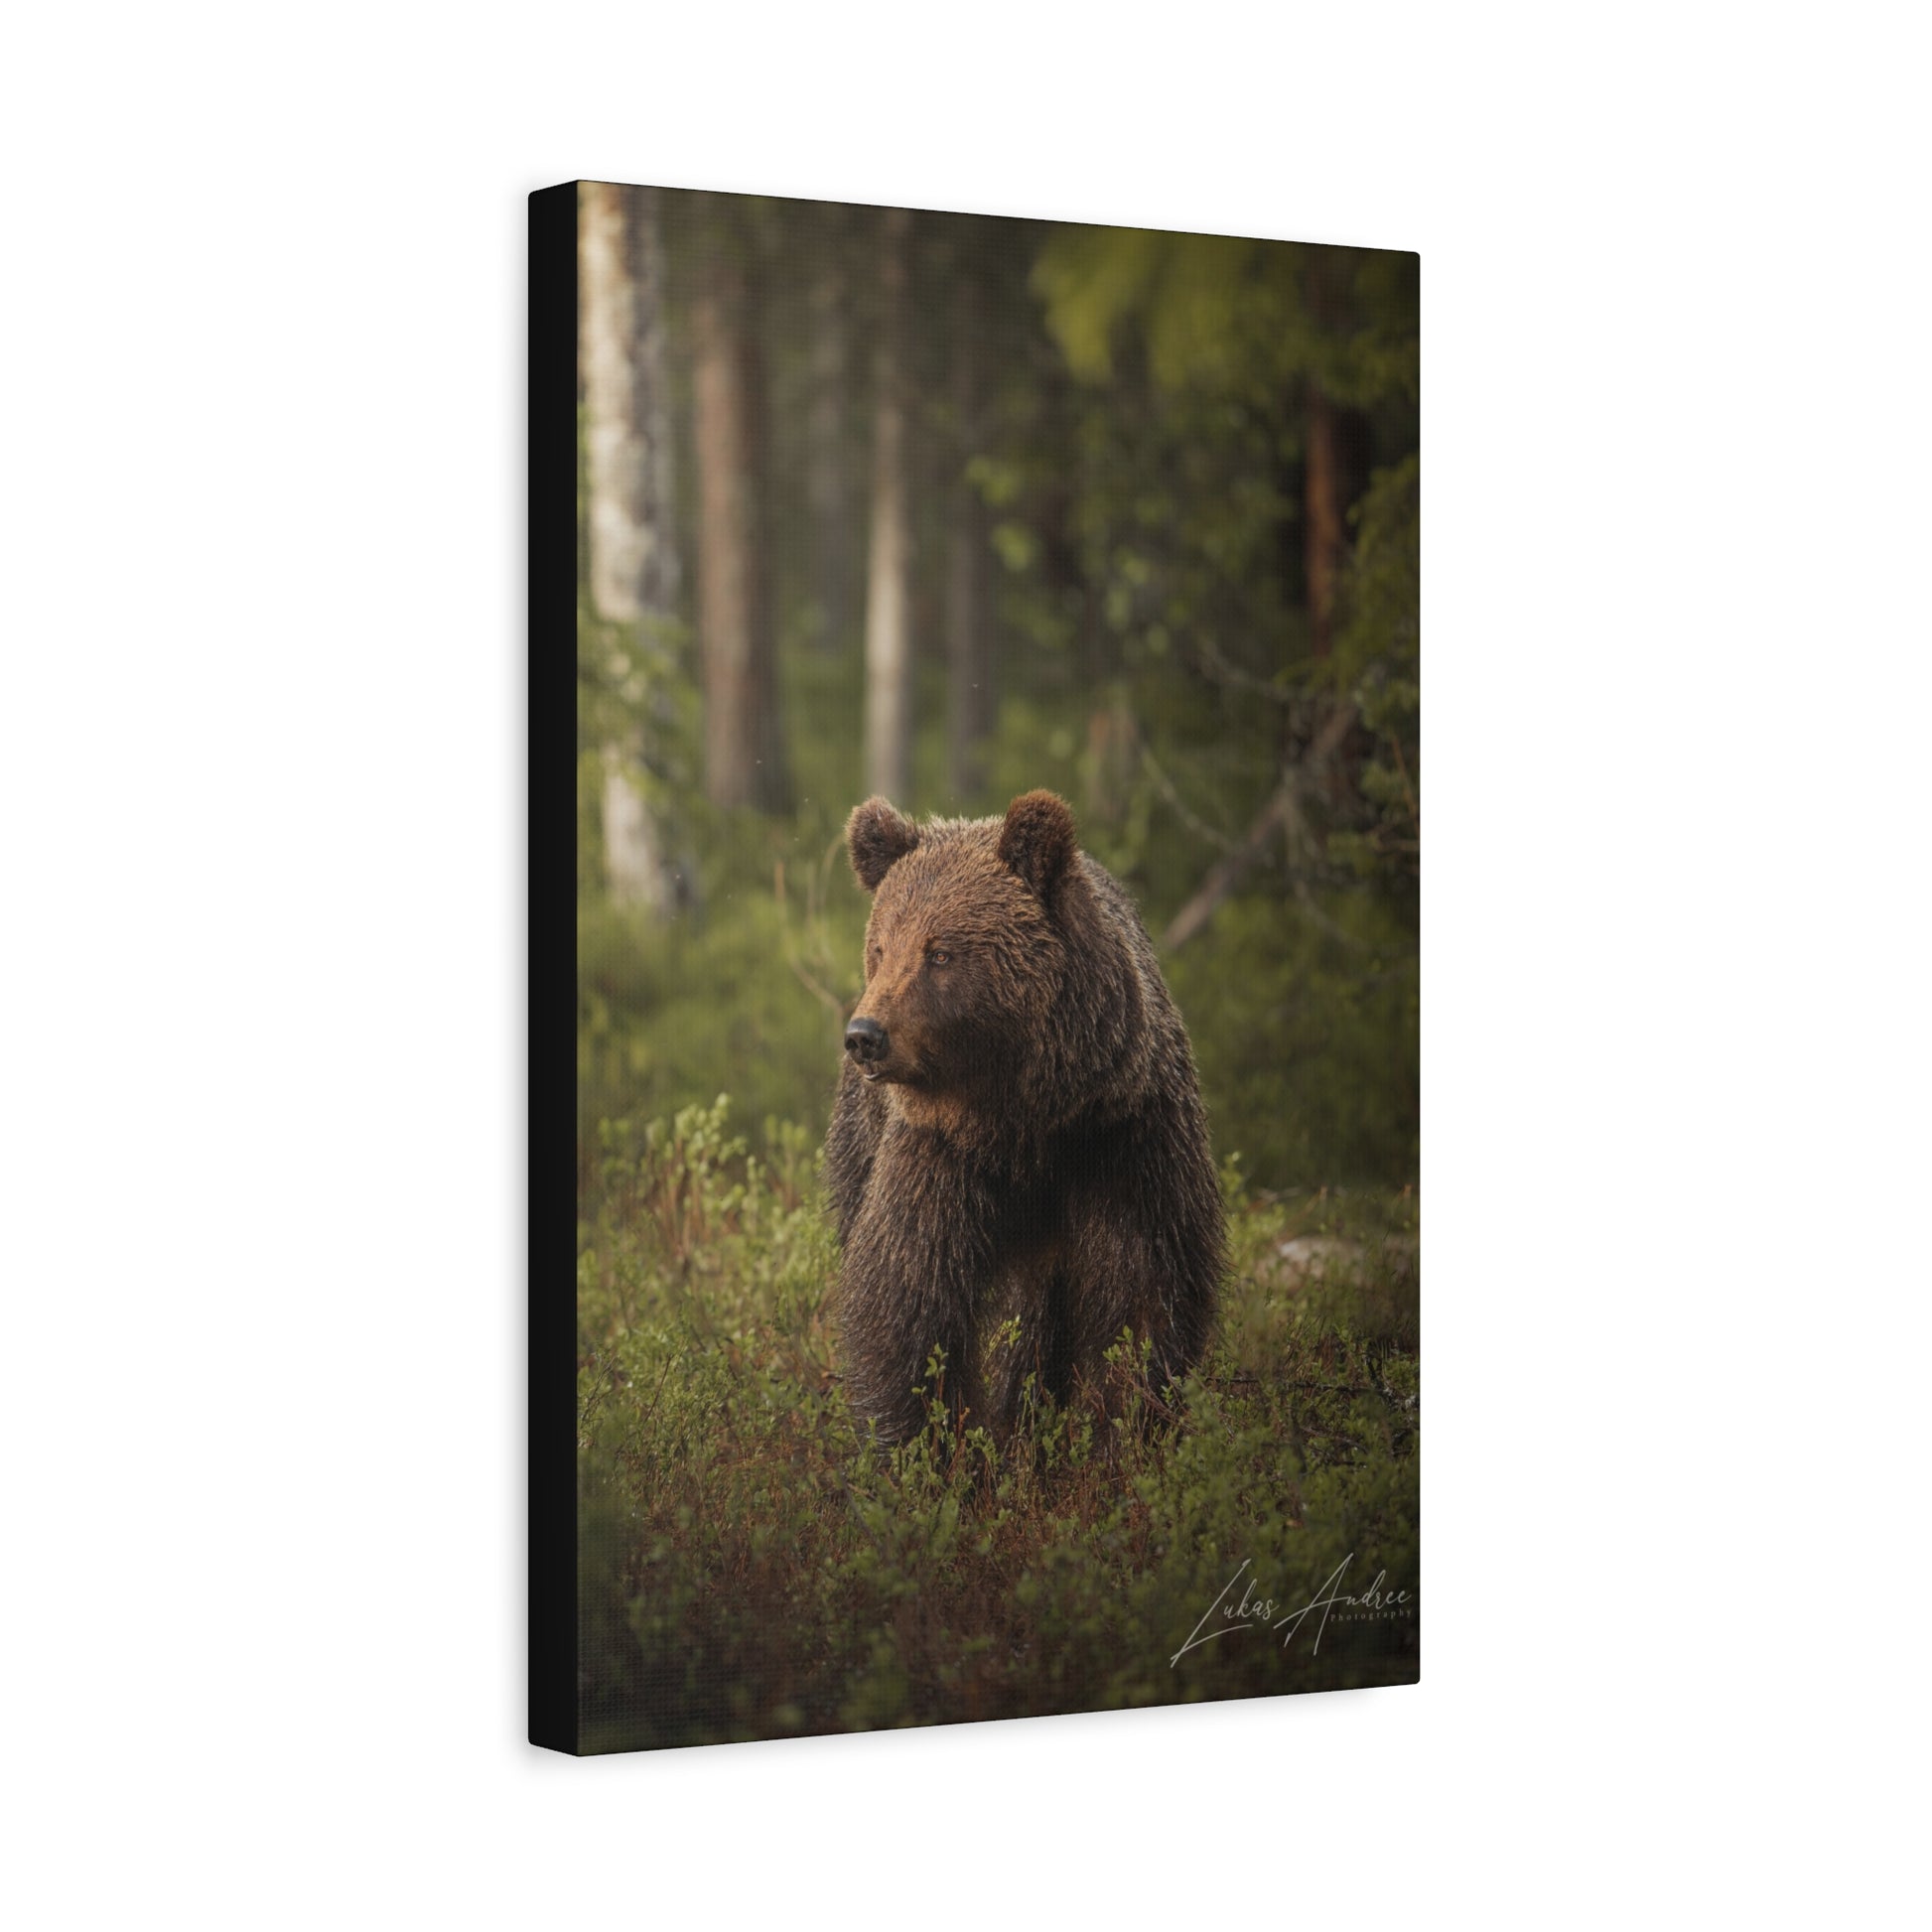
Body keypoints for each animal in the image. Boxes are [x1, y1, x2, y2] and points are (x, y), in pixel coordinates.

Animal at [826, 788, 1224, 1446]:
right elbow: (908, 1300)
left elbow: (1146, 1295)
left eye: (940, 952)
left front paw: (1128, 1432)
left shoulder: (1123, 1140)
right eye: (880, 949)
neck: (1025, 1118)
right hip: (860, 1140)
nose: (865, 1036)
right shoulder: (939, 1156)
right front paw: (925, 1448)